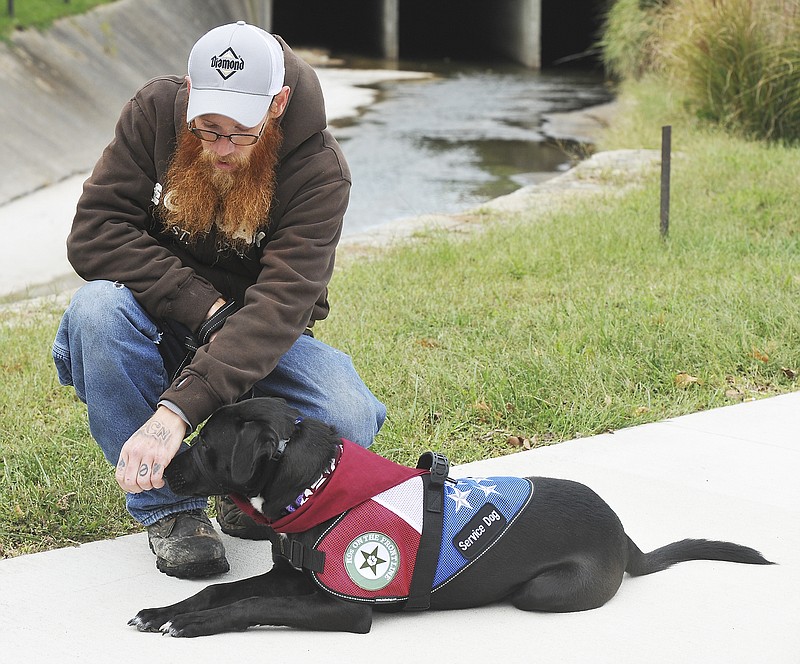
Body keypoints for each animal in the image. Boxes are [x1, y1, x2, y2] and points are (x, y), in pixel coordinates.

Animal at [130, 396, 768, 636]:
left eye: (205, 444)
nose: (158, 468)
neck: (317, 486)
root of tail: (623, 534)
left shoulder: (345, 608)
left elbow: (252, 605)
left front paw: (191, 626)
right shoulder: (292, 577)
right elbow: (221, 591)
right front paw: (163, 611)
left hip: (542, 592)